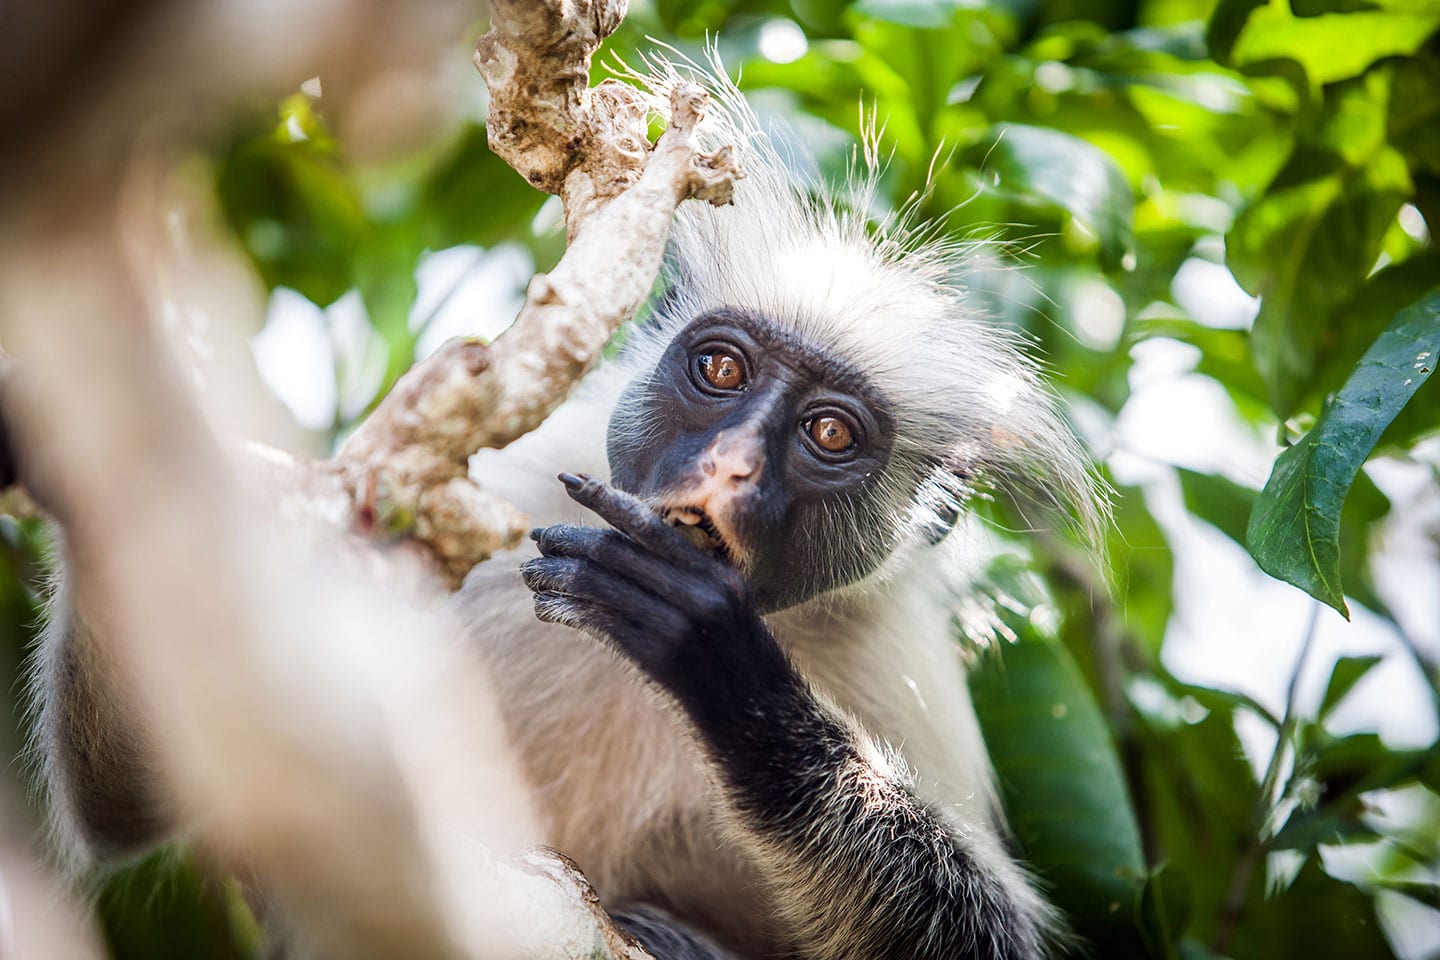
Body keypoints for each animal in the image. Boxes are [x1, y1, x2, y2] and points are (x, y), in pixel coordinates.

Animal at [16, 65, 1102, 960]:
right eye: (721, 369)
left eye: (829, 434)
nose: (734, 466)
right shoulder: (519, 493)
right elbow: (172, 791)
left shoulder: (894, 650)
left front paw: (725, 668)